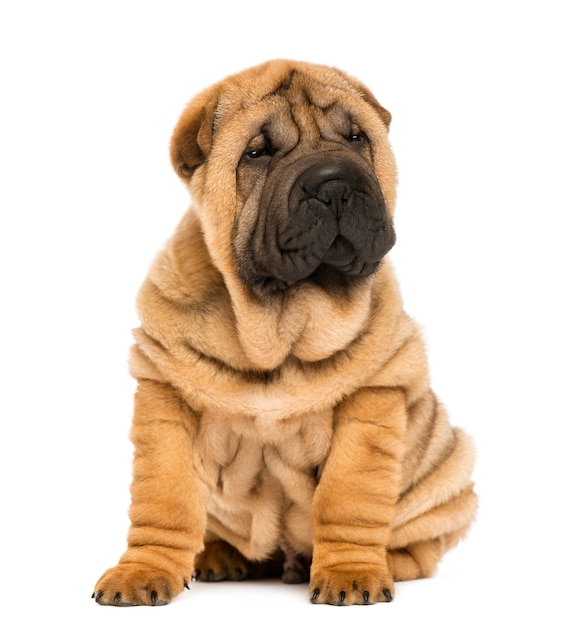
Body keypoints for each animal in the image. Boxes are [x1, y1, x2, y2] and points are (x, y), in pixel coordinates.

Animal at [95, 58, 478, 604]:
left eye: (357, 137)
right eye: (257, 152)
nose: (335, 183)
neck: (283, 328)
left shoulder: (373, 397)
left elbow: (348, 497)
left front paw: (350, 573)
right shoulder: (164, 395)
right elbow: (163, 499)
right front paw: (141, 572)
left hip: (449, 465)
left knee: (422, 543)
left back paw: (386, 561)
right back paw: (218, 556)